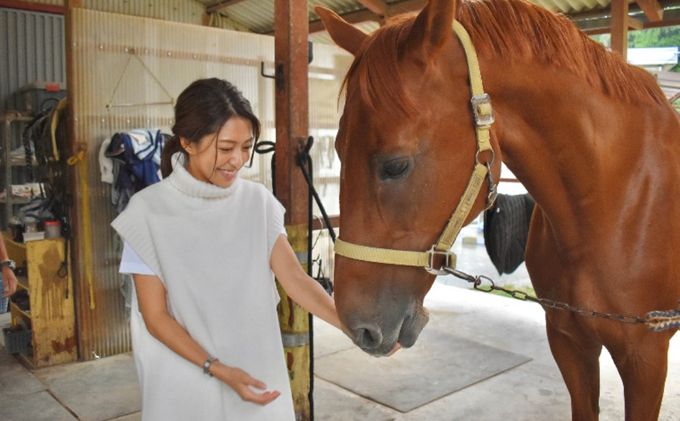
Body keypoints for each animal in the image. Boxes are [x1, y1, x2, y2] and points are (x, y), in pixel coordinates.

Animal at [316, 0, 680, 416]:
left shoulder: (645, 356)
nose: (357, 327)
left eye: (396, 165)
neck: (612, 202)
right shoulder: (569, 340)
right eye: (338, 149)